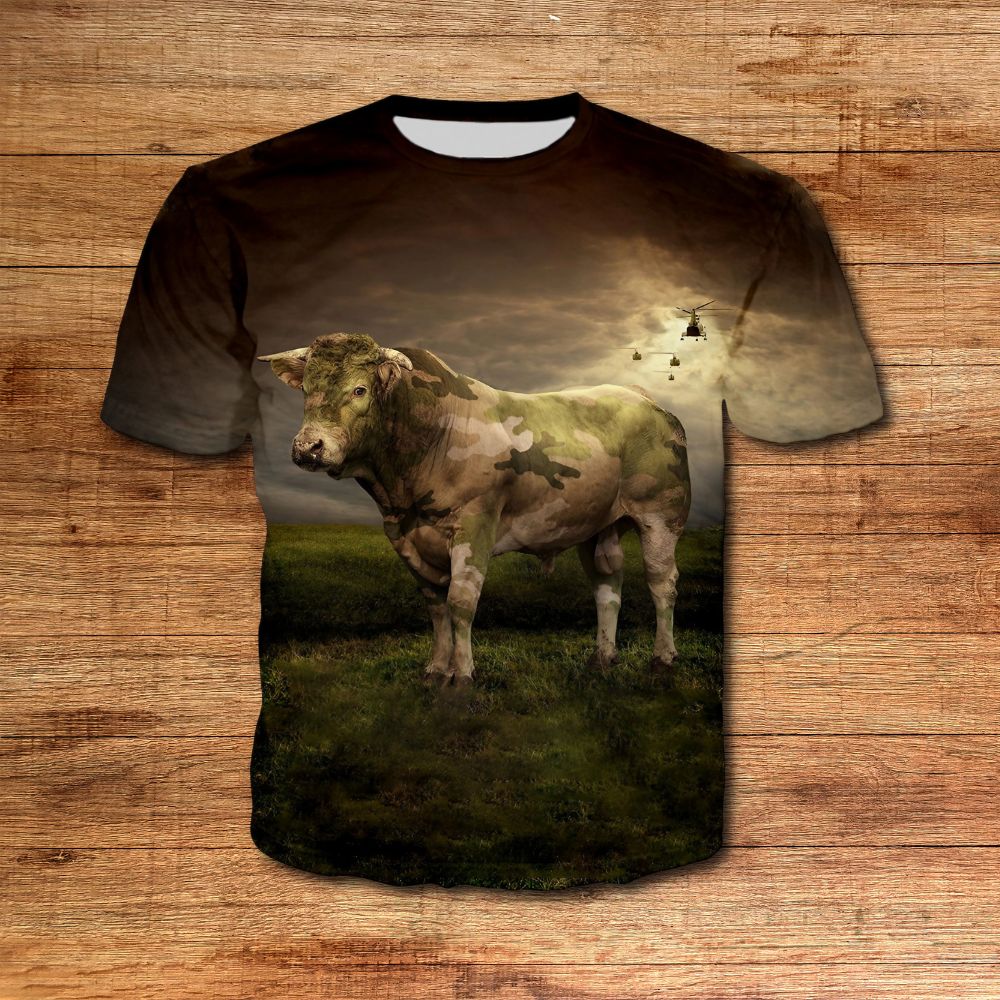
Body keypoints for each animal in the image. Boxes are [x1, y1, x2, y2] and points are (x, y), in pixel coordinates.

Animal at [259, 332, 691, 687]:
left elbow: (461, 604)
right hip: (598, 525)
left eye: (359, 389)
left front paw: (462, 675)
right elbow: (436, 607)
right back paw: (602, 658)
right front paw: (436, 670)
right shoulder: (405, 536)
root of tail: (644, 398)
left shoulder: (474, 525)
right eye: (306, 389)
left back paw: (663, 659)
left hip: (660, 514)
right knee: (607, 585)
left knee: (662, 582)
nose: (308, 447)